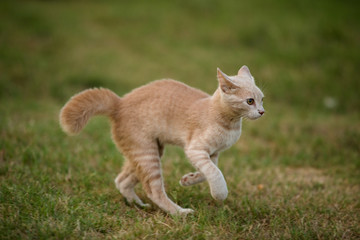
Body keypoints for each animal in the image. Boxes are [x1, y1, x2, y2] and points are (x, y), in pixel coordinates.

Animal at [59, 65, 264, 216]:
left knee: (122, 180)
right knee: (153, 190)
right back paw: (180, 213)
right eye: (250, 101)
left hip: (146, 151)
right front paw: (220, 193)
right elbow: (214, 173)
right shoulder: (195, 149)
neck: (229, 124)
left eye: (262, 99)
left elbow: (207, 171)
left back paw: (137, 205)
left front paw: (188, 179)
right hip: (147, 153)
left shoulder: (213, 153)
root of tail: (119, 103)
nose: (262, 111)